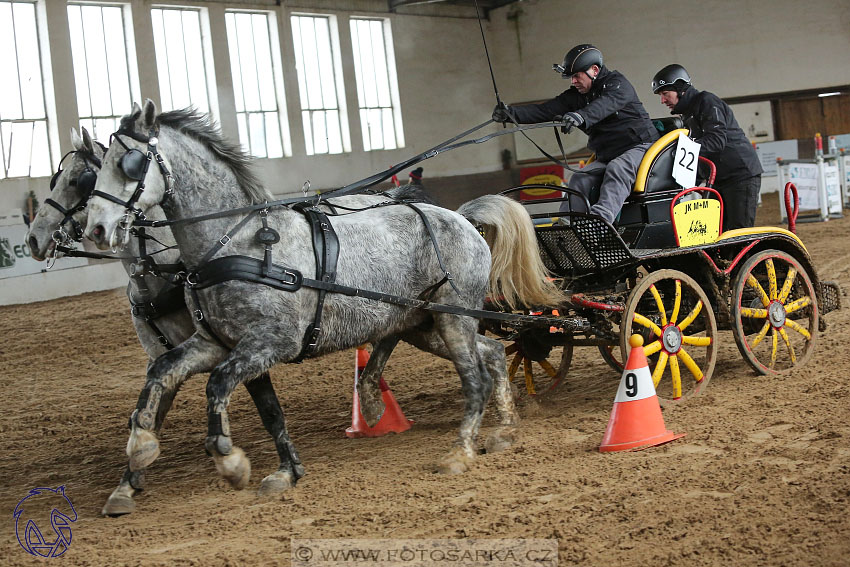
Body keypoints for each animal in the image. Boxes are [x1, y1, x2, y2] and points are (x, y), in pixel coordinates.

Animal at [83, 101, 560, 506]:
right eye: (97, 170)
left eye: (130, 162)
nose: (96, 229)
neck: (235, 243)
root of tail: (461, 217)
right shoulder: (215, 342)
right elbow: (167, 372)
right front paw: (141, 448)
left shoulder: (270, 342)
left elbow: (218, 384)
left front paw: (230, 462)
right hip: (426, 325)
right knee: (493, 352)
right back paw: (504, 431)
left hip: (453, 320)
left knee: (474, 379)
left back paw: (460, 452)